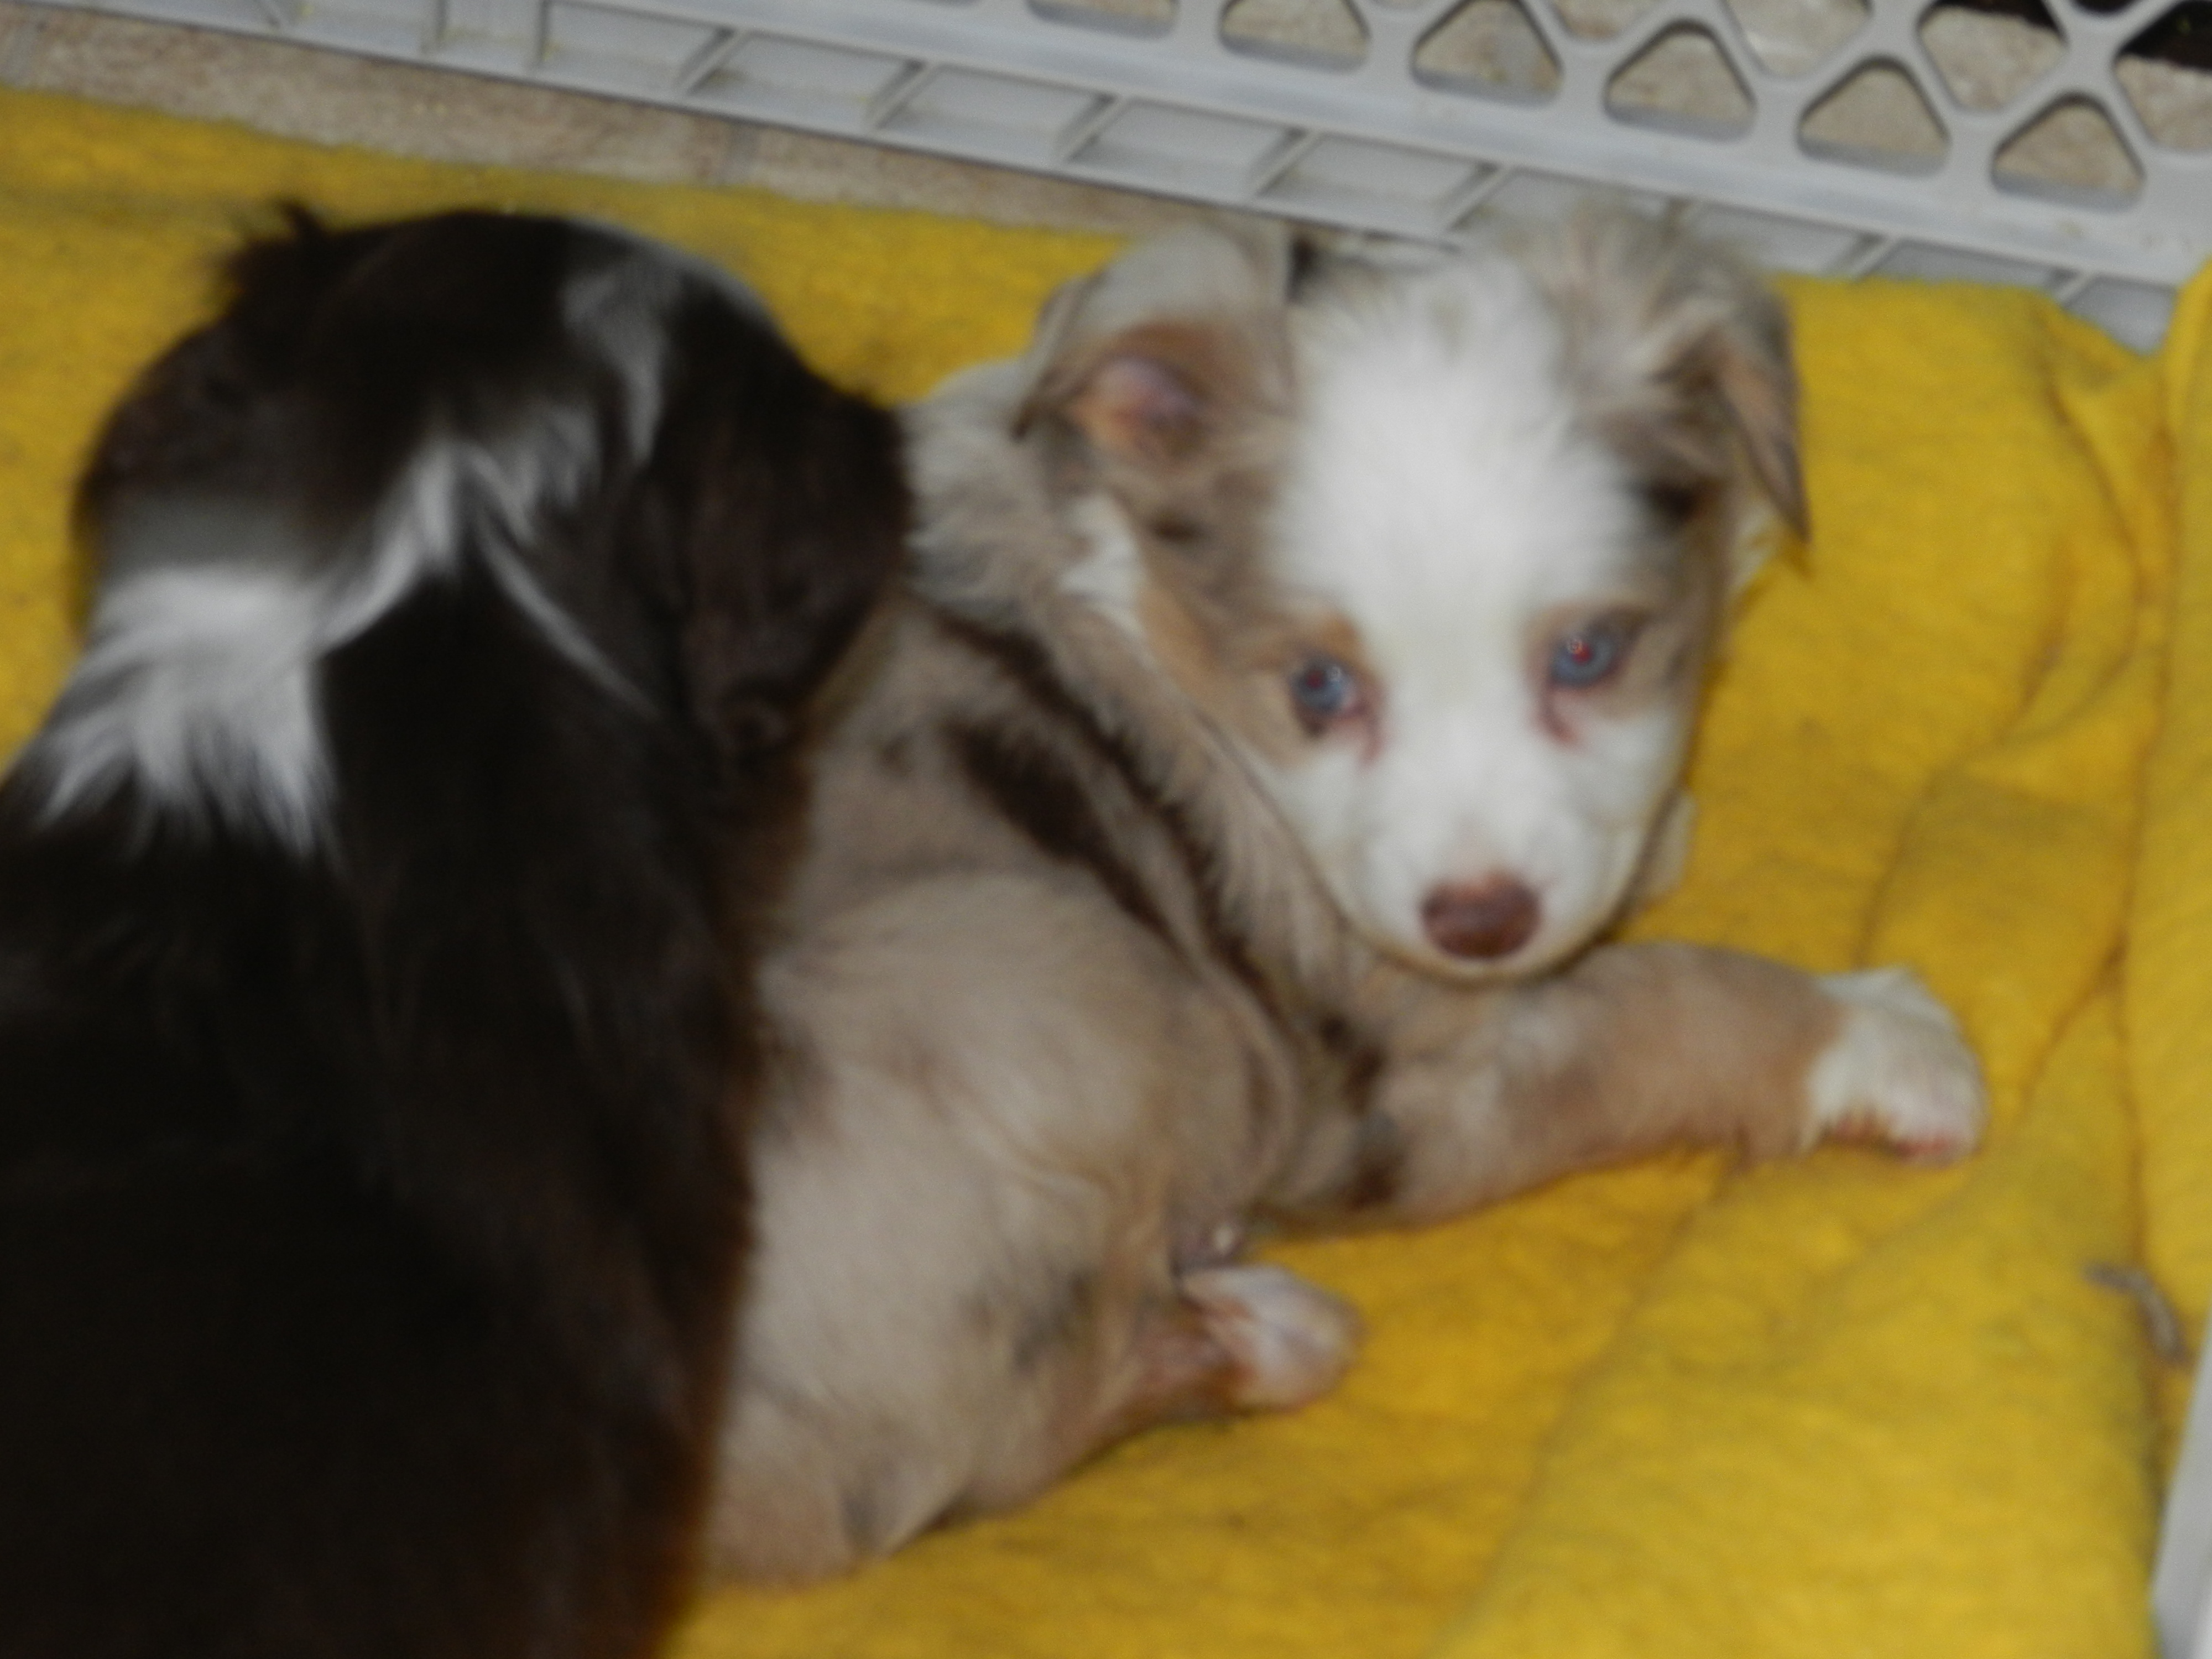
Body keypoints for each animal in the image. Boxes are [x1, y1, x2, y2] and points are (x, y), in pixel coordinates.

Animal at [702, 208, 1986, 1583]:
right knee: (1006, 1445)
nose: (1479, 922)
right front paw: (1881, 1039)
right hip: (1053, 972)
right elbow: (1663, 1009)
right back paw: (1268, 1328)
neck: (1151, 613)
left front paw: (1652, 843)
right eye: (1319, 687)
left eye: (1585, 654)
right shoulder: (1407, 1081)